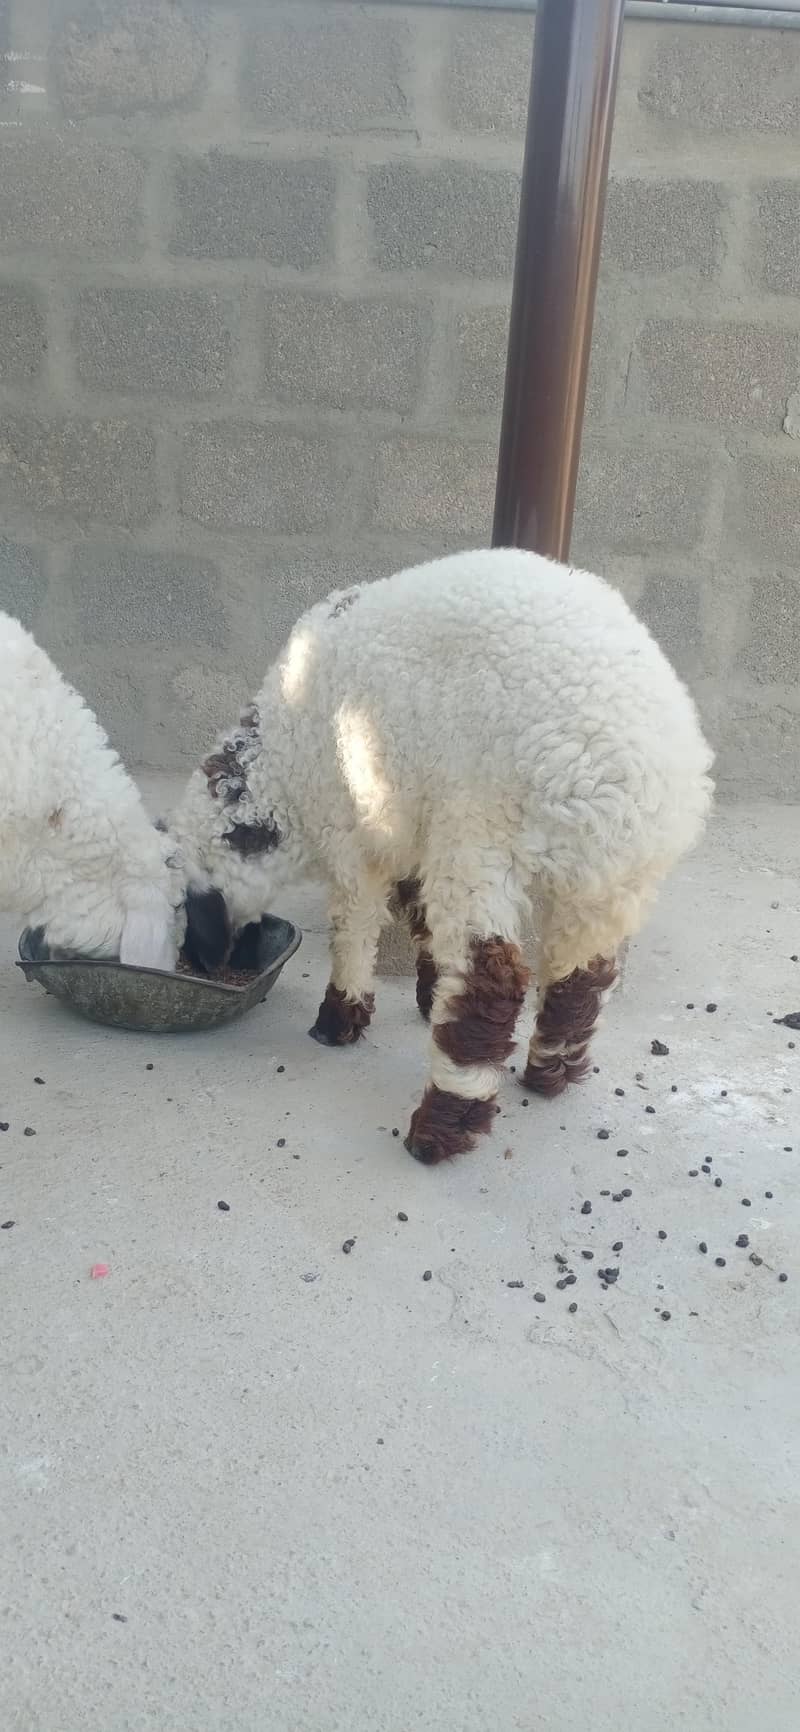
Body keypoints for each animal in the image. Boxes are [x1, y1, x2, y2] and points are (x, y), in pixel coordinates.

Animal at [173, 548, 714, 1164]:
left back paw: (439, 1129)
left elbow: (354, 927)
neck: (284, 759)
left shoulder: (356, 831)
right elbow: (418, 911)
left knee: (492, 979)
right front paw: (429, 996)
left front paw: (338, 1020)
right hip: (612, 877)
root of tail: (616, 765)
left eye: (187, 911)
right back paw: (550, 1073)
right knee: (582, 973)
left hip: (485, 835)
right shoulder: (410, 819)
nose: (200, 960)